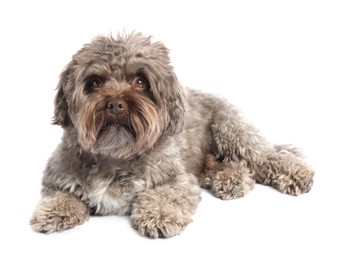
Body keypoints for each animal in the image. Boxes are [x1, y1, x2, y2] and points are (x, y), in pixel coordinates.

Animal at [29, 32, 316, 238]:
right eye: (95, 82)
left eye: (140, 81)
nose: (116, 104)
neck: (115, 155)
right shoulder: (57, 176)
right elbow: (62, 194)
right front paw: (53, 211)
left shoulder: (177, 178)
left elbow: (165, 195)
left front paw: (159, 215)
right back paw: (231, 179)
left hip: (231, 129)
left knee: (267, 158)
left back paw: (296, 174)